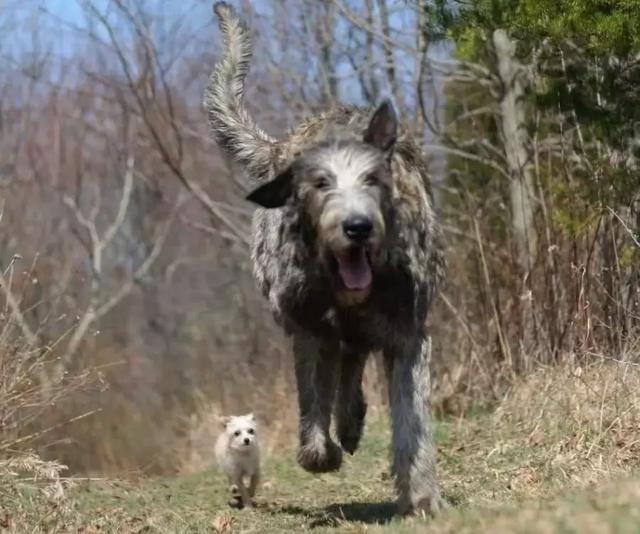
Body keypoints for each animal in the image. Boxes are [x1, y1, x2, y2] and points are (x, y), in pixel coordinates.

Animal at [204, 2, 444, 516]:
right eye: (319, 184)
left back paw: (352, 422)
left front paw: (420, 493)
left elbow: (410, 419)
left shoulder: (409, 331)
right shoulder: (306, 328)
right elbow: (313, 407)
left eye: (374, 178)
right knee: (342, 366)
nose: (357, 227)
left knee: (355, 362)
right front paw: (322, 451)